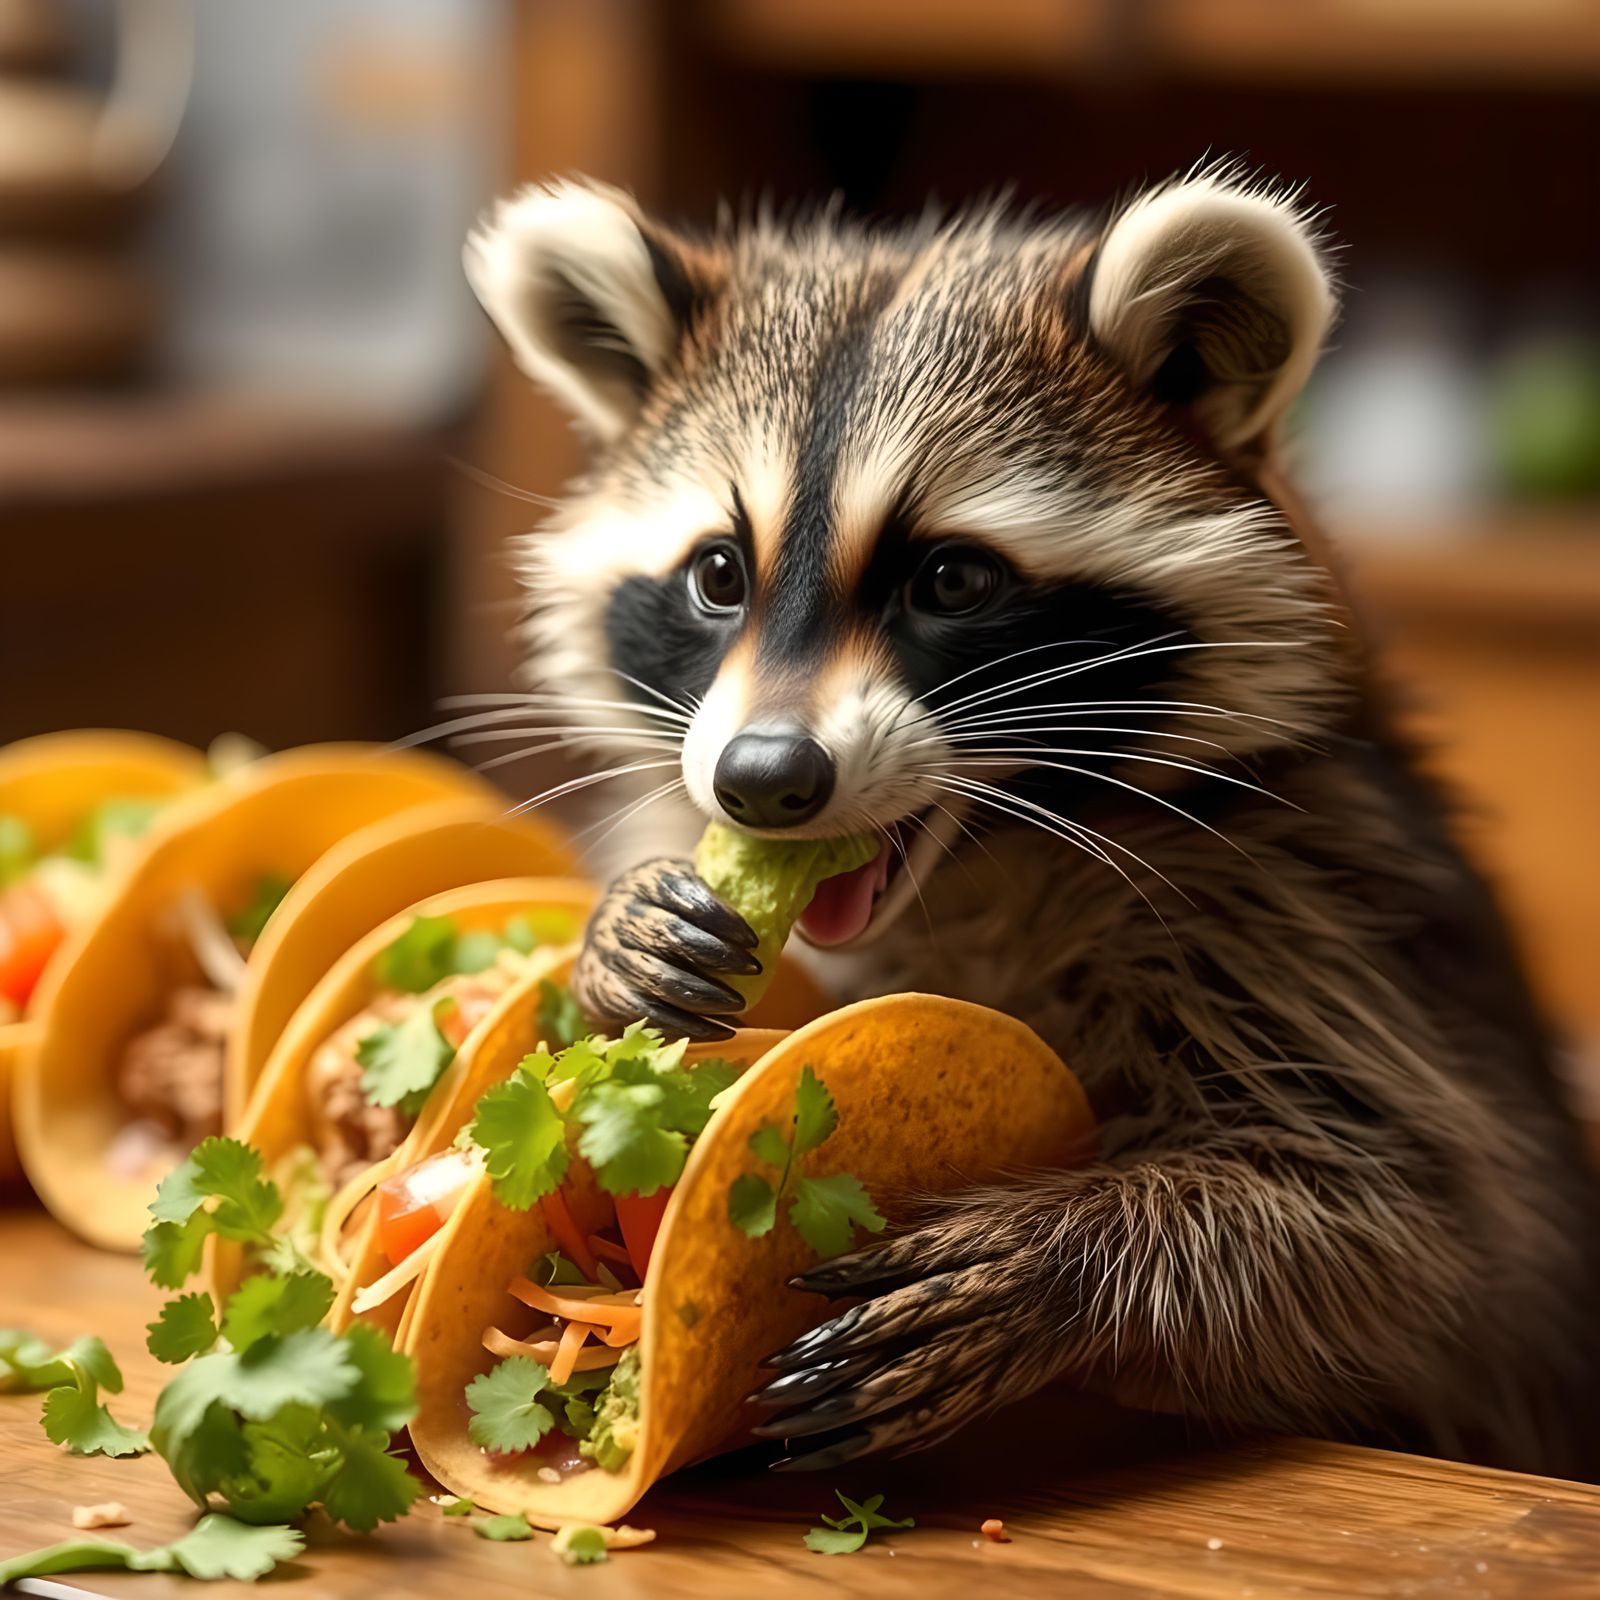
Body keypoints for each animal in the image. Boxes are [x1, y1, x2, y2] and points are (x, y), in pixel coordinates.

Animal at [462, 167, 1600, 1478]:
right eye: (717, 575)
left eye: (950, 580)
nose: (762, 779)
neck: (982, 862)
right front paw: (614, 941)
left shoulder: (1305, 910)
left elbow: (1407, 1237)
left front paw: (1065, 1258)